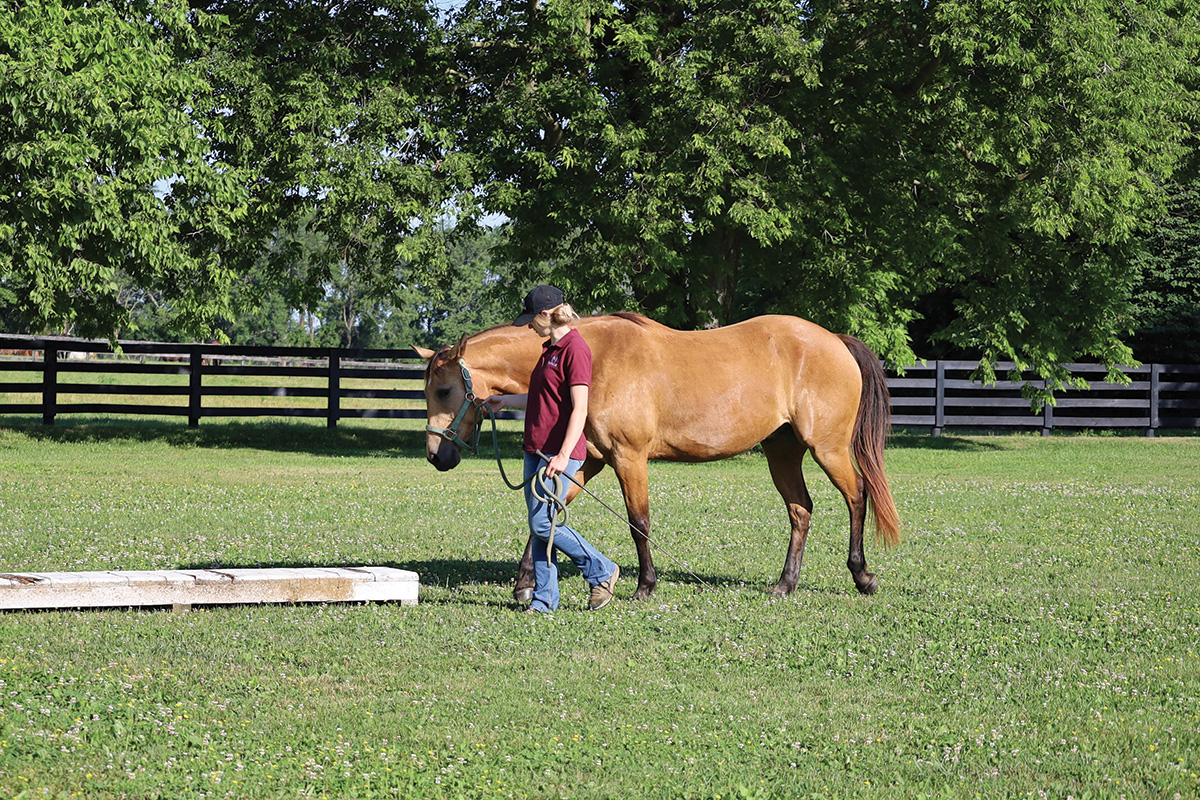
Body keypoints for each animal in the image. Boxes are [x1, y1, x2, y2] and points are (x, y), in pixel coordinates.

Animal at [416, 312, 902, 602]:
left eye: (444, 390)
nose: (437, 456)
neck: (594, 357)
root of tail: (834, 340)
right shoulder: (589, 461)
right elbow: (545, 515)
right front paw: (524, 585)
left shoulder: (628, 458)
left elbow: (638, 522)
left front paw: (645, 586)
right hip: (782, 451)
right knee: (801, 511)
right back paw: (785, 585)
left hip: (829, 448)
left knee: (857, 498)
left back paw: (862, 575)